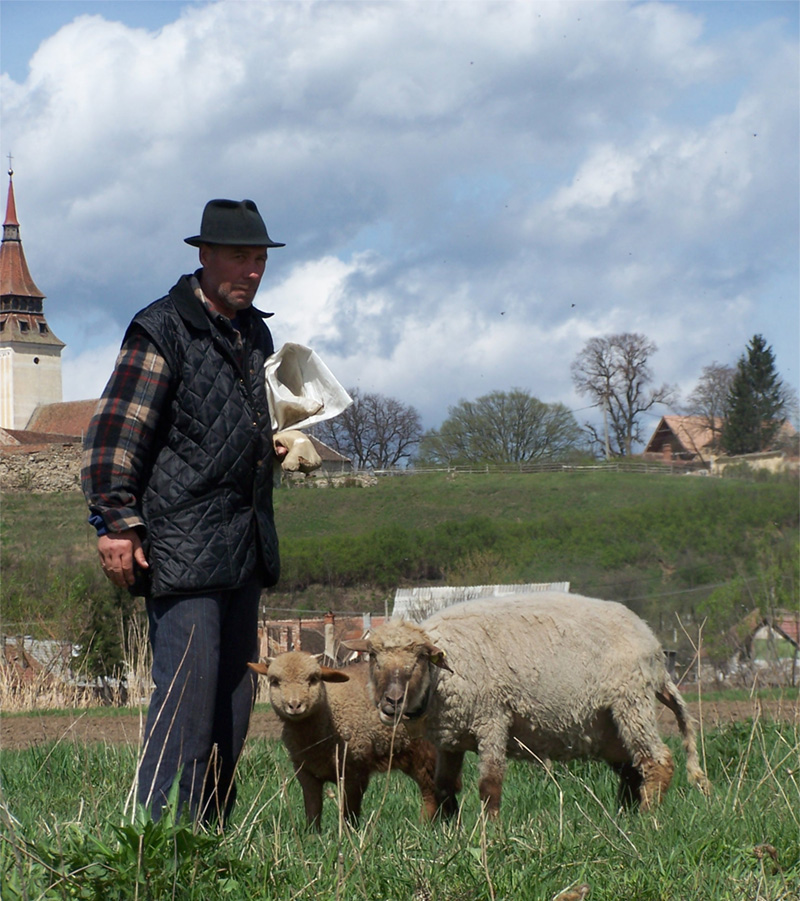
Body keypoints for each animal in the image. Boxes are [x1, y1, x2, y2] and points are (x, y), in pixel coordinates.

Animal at [248, 651, 440, 829]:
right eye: (274, 681)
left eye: (314, 678)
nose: (294, 705)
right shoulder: (306, 772)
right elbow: (313, 808)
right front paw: (312, 835)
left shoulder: (354, 770)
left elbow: (349, 810)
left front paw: (350, 834)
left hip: (426, 751)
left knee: (430, 791)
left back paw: (424, 826)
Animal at [345, 592, 711, 819]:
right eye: (374, 658)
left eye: (420, 659)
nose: (392, 702)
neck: (443, 674)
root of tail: (655, 650)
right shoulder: (451, 737)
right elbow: (445, 786)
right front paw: (448, 831)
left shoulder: (491, 719)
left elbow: (489, 784)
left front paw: (490, 832)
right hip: (608, 724)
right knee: (632, 769)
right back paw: (625, 816)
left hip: (631, 701)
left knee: (657, 761)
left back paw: (647, 817)